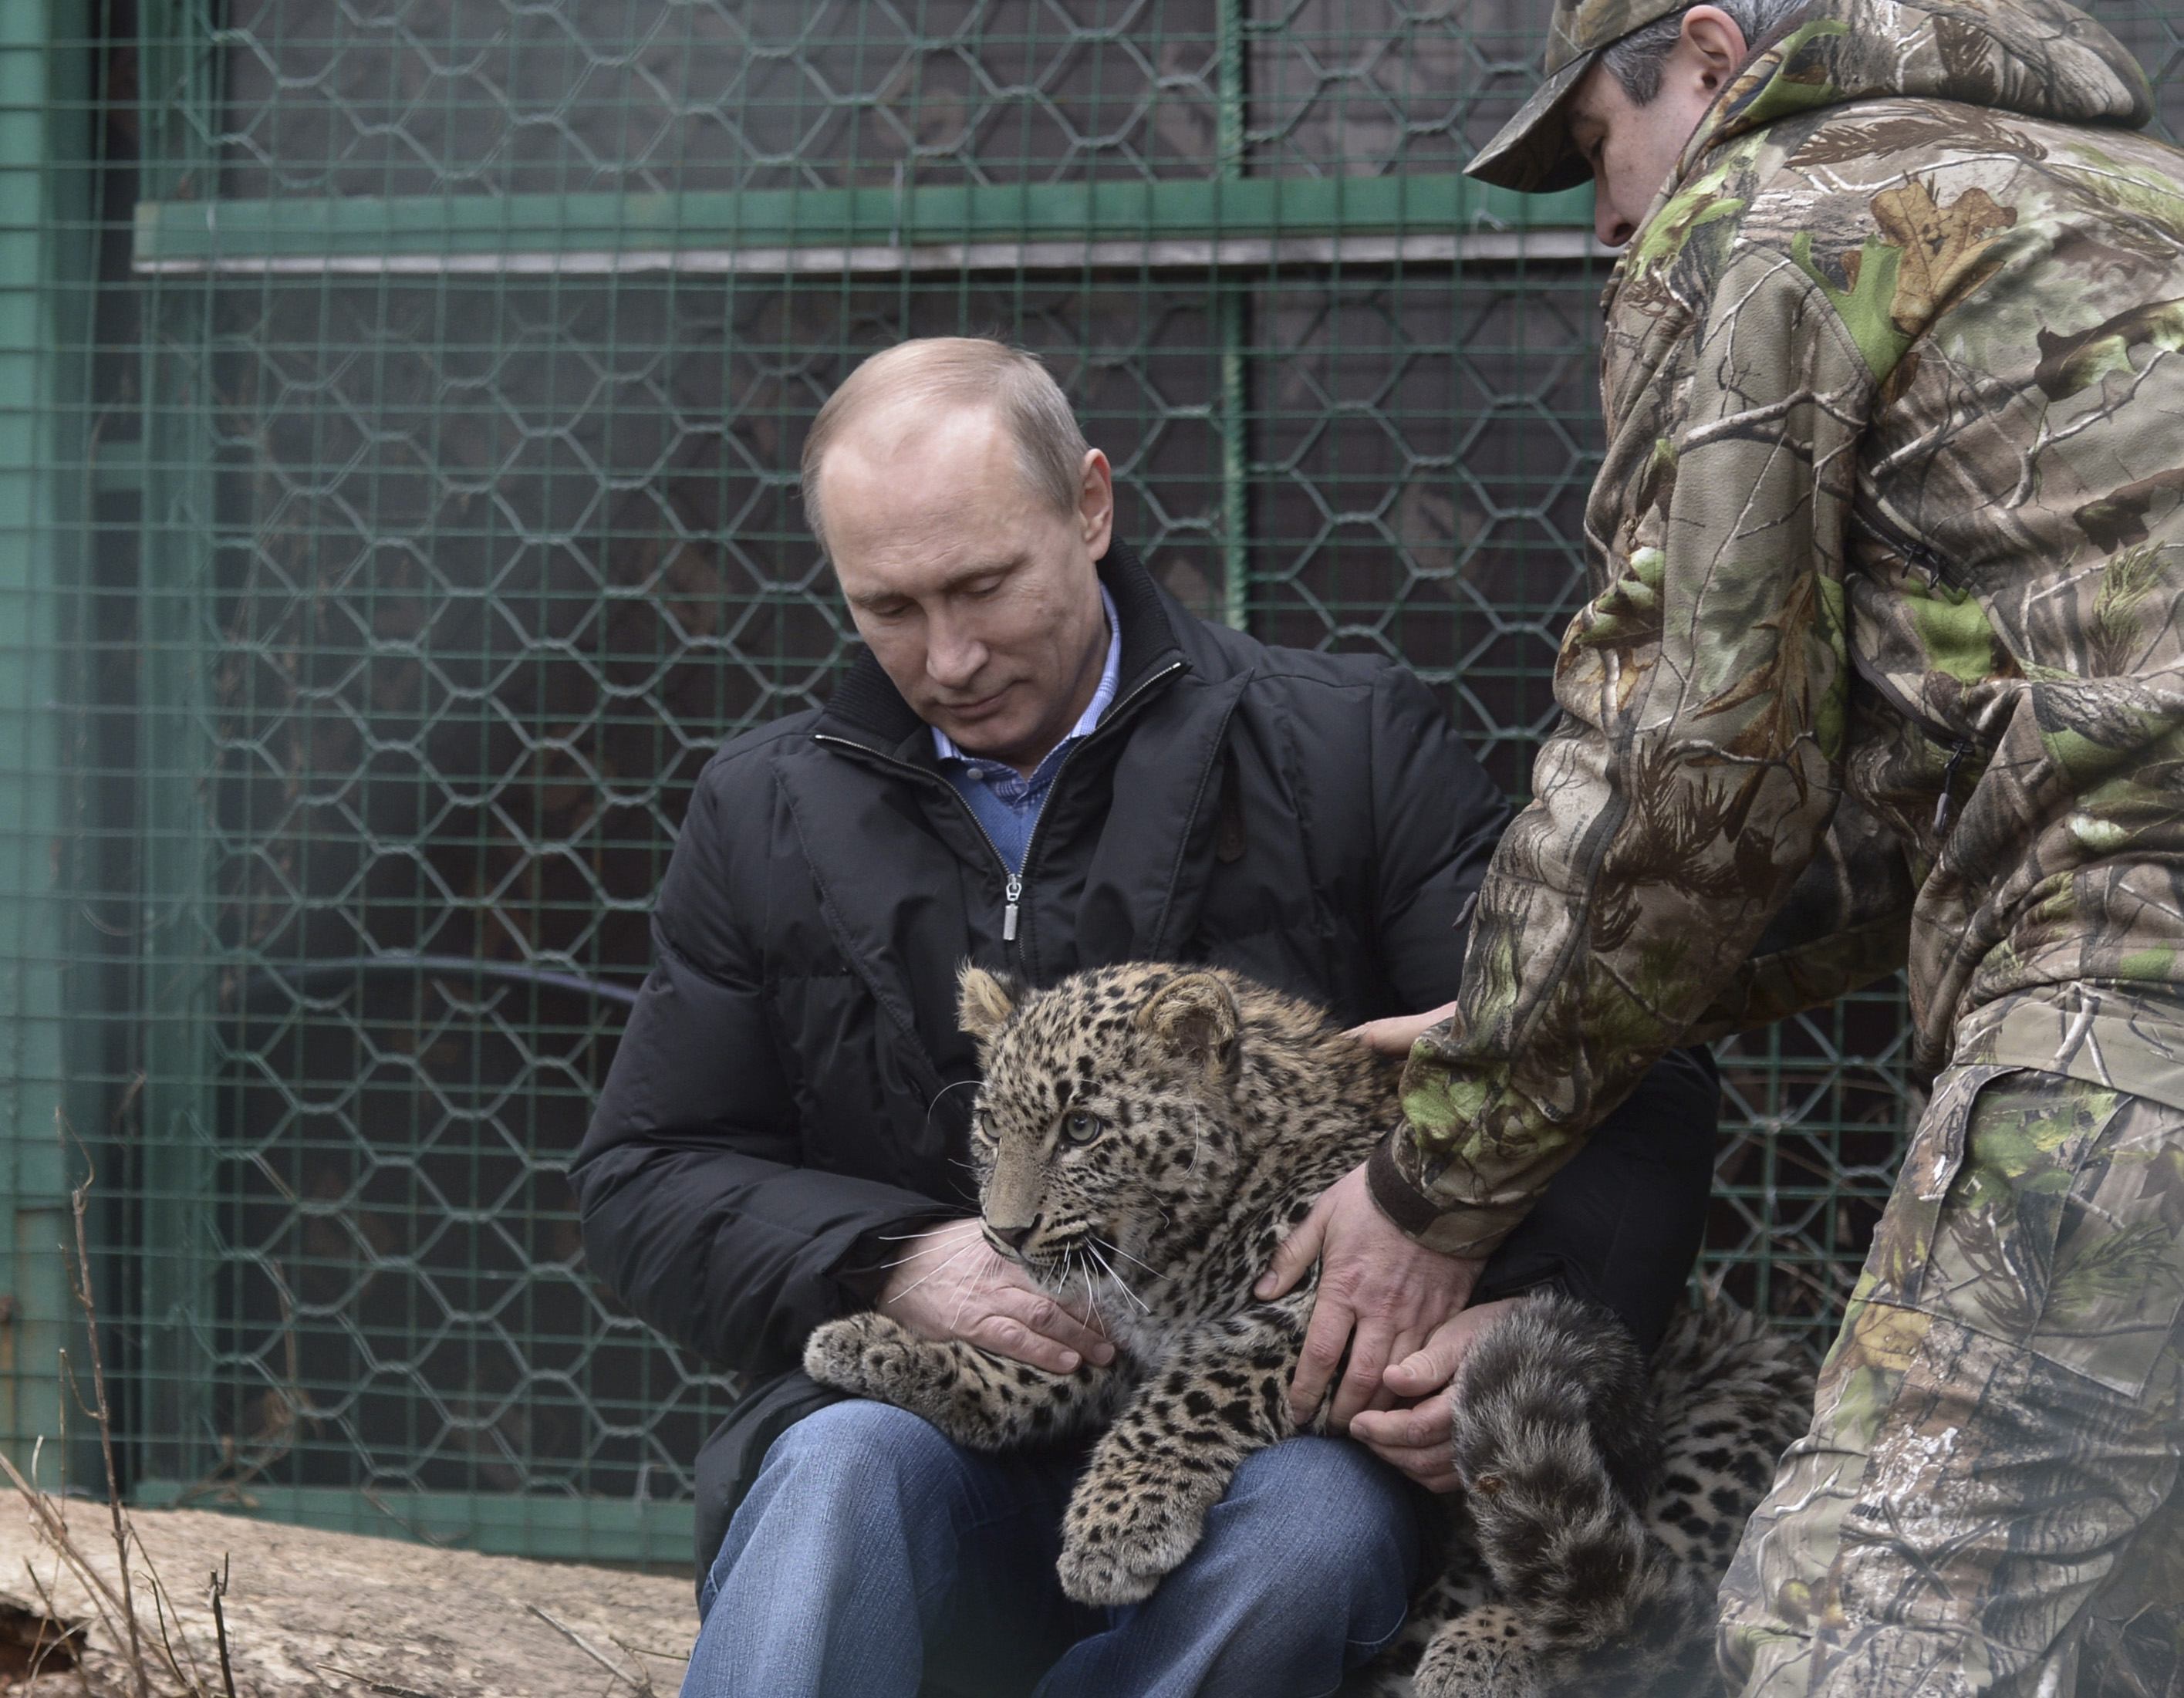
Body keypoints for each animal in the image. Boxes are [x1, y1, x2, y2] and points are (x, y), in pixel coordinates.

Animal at [803, 961, 1808, 1686]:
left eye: (1081, 1128)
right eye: (990, 1125)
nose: (1001, 1232)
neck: (1170, 1250)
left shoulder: (1330, 1306)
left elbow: (1186, 1396)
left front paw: (1110, 1531)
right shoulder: (1124, 1326)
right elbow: (1030, 1368)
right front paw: (876, 1343)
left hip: (1716, 1422)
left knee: (1648, 1600)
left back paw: (1479, 1651)